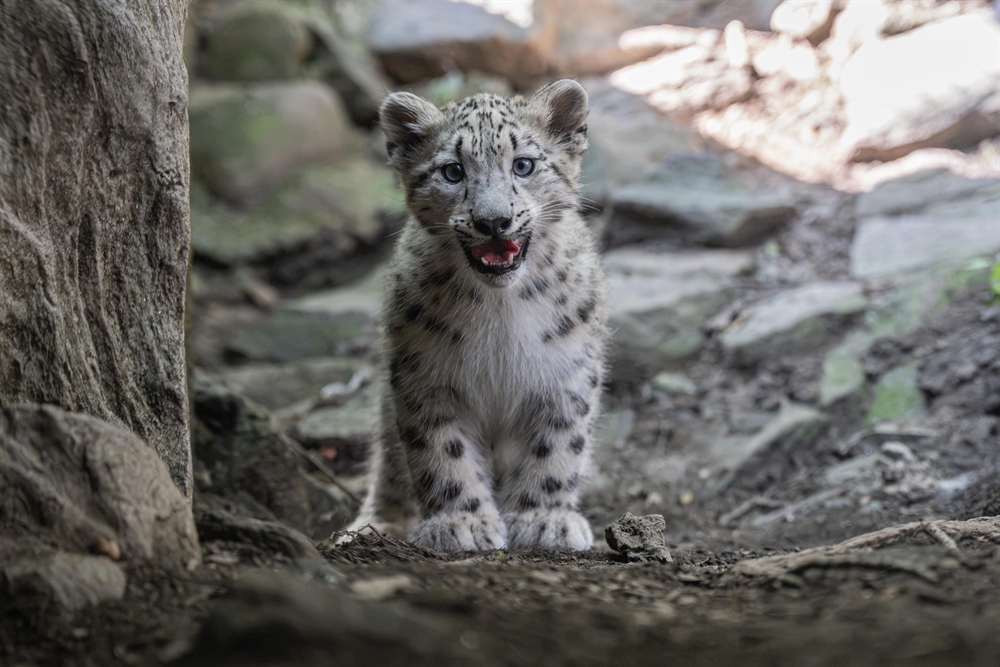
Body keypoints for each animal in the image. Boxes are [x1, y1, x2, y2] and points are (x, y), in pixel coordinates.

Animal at [347, 79, 608, 552]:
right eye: (453, 171)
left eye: (523, 164)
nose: (494, 221)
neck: (501, 310)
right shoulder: (425, 375)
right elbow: (440, 451)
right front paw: (461, 523)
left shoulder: (567, 371)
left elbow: (559, 445)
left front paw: (545, 519)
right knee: (388, 463)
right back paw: (374, 525)